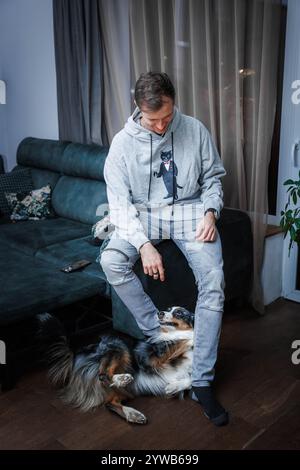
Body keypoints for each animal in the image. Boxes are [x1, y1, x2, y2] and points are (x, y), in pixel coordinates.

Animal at [37, 306, 196, 424]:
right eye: (168, 309)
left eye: (179, 312)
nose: (159, 313)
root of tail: (78, 353)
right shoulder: (150, 358)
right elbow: (182, 340)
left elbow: (191, 379)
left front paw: (174, 386)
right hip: (118, 345)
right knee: (103, 376)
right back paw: (121, 379)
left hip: (124, 388)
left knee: (110, 403)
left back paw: (132, 414)